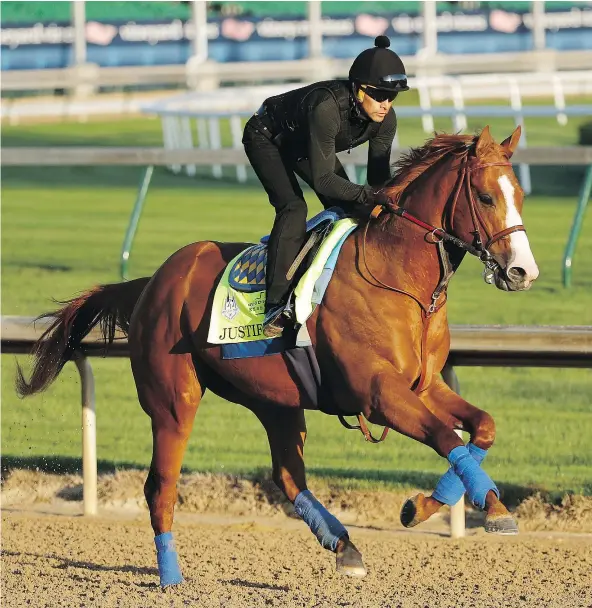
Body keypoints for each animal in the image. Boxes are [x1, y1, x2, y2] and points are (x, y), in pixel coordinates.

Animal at [16, 124, 540, 584]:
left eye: (519, 194)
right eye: (487, 197)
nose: (523, 272)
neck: (398, 278)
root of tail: (153, 281)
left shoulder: (424, 386)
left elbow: (481, 429)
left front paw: (447, 505)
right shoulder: (377, 393)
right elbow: (445, 436)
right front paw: (481, 505)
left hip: (275, 400)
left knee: (287, 475)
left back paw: (344, 546)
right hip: (172, 401)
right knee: (160, 486)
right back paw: (170, 577)